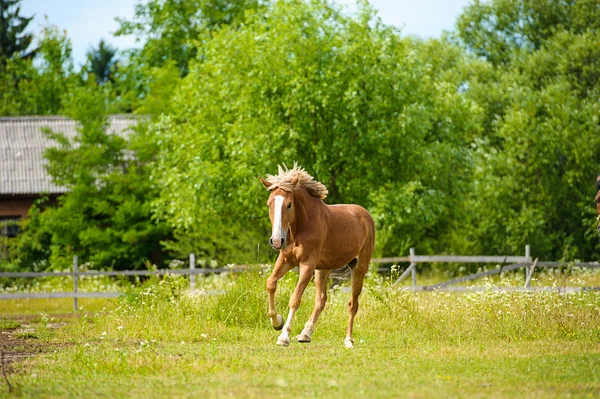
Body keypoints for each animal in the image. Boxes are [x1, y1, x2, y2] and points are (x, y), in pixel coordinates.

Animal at [258, 164, 376, 348]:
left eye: (289, 204)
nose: (277, 241)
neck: (303, 225)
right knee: (321, 299)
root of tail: (366, 215)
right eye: (269, 204)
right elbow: (270, 283)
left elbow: (295, 298)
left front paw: (283, 336)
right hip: (323, 270)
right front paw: (277, 322)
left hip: (359, 268)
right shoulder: (286, 260)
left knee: (353, 304)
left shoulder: (307, 265)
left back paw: (348, 340)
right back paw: (305, 334)